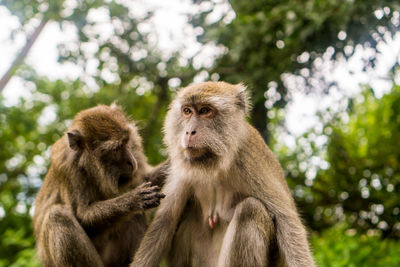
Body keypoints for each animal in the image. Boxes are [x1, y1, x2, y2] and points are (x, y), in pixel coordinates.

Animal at [32, 105, 167, 267]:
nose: (132, 161)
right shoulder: (68, 168)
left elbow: (145, 179)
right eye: (117, 149)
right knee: (57, 215)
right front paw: (133, 200)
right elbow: (83, 217)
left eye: (127, 142)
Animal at [132, 82, 316, 267]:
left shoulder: (248, 159)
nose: (189, 132)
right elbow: (164, 222)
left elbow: (287, 222)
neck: (214, 163)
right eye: (187, 111)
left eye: (205, 110)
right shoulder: (182, 166)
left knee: (250, 209)